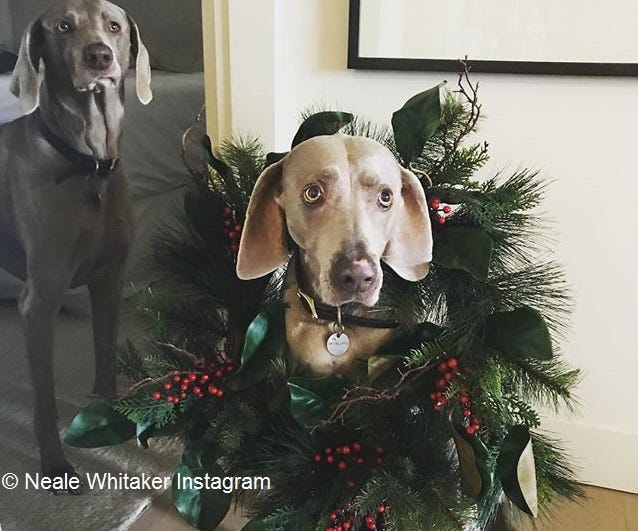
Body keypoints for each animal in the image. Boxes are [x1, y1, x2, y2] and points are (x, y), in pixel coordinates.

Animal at [0, 0, 152, 482]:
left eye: (114, 25)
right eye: (63, 26)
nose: (99, 56)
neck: (89, 164)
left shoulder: (110, 278)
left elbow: (105, 349)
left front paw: (109, 414)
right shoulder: (40, 298)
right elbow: (44, 400)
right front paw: (55, 465)